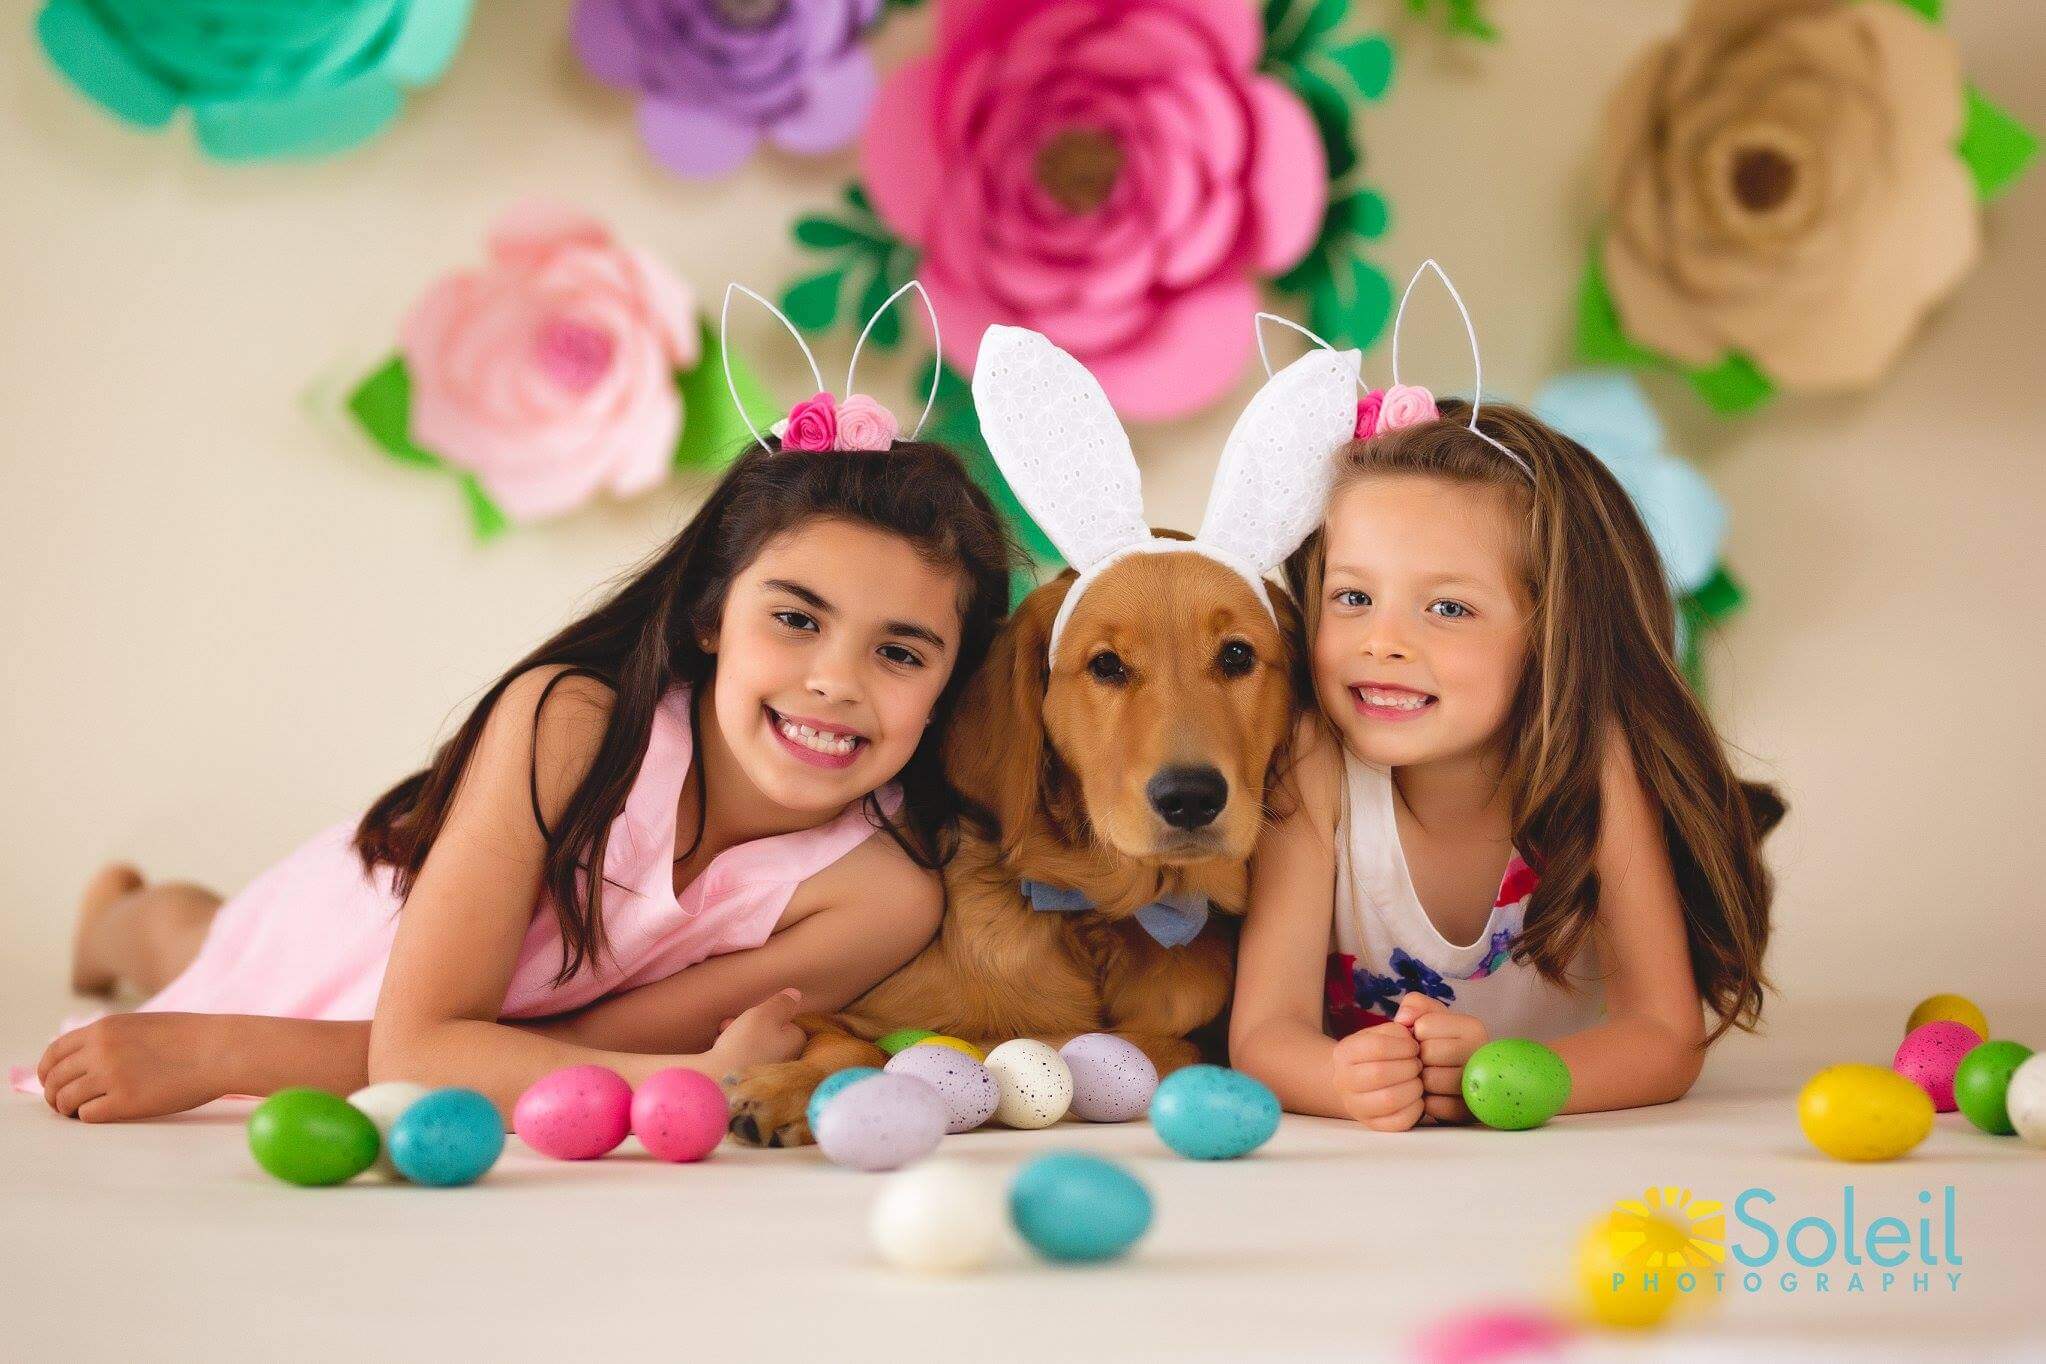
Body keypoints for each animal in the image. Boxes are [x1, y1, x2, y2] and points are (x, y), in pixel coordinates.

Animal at [728, 531, 1301, 1145]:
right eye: (1106, 665)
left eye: (1237, 655)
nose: (1190, 796)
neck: (1098, 922)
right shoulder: (823, 1008)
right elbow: (853, 1041)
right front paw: (793, 1087)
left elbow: (1164, 1046)